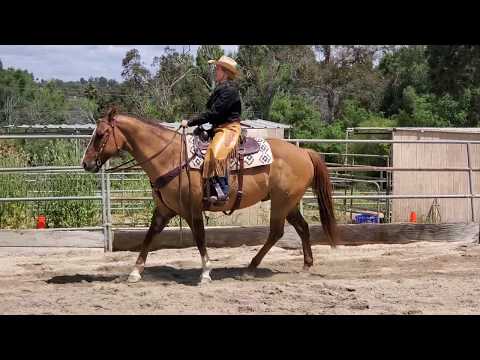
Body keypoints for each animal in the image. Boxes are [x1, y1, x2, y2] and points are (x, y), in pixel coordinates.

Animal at [81, 107, 338, 284]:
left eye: (101, 134)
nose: (86, 163)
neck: (169, 156)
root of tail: (304, 152)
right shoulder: (164, 210)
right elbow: (149, 236)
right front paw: (135, 272)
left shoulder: (192, 208)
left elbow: (199, 237)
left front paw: (205, 272)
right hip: (288, 202)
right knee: (302, 228)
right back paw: (306, 266)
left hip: (282, 202)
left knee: (276, 232)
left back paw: (250, 269)